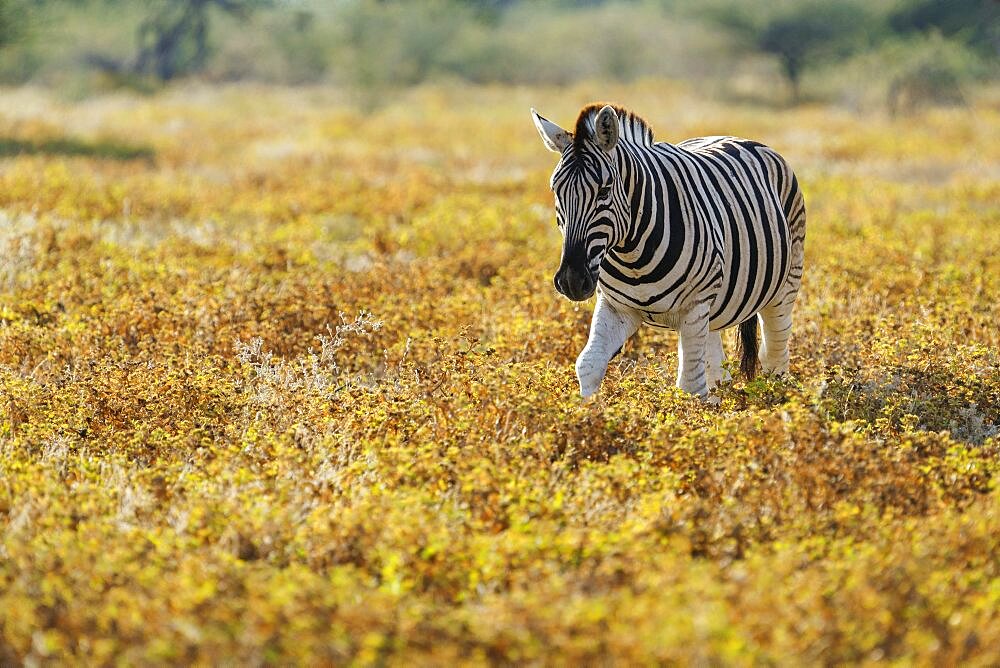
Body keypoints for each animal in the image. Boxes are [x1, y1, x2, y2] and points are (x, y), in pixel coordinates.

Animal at [532, 102, 804, 400]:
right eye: (556, 190)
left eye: (604, 191)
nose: (571, 281)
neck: (632, 254)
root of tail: (737, 137)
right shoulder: (617, 307)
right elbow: (588, 363)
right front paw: (589, 411)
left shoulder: (694, 306)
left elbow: (689, 388)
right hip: (712, 309)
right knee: (717, 371)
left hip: (783, 288)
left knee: (774, 357)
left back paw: (776, 402)